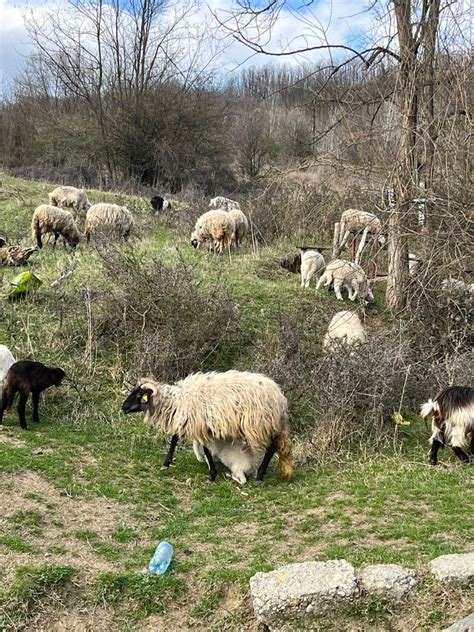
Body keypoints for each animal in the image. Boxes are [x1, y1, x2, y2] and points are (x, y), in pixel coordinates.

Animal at [121, 368, 292, 482]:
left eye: (139, 395)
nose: (123, 408)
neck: (177, 401)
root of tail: (280, 398)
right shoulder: (192, 421)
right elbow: (175, 439)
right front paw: (166, 463)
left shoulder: (199, 424)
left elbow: (205, 449)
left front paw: (211, 474)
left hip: (260, 424)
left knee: (271, 448)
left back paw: (259, 475)